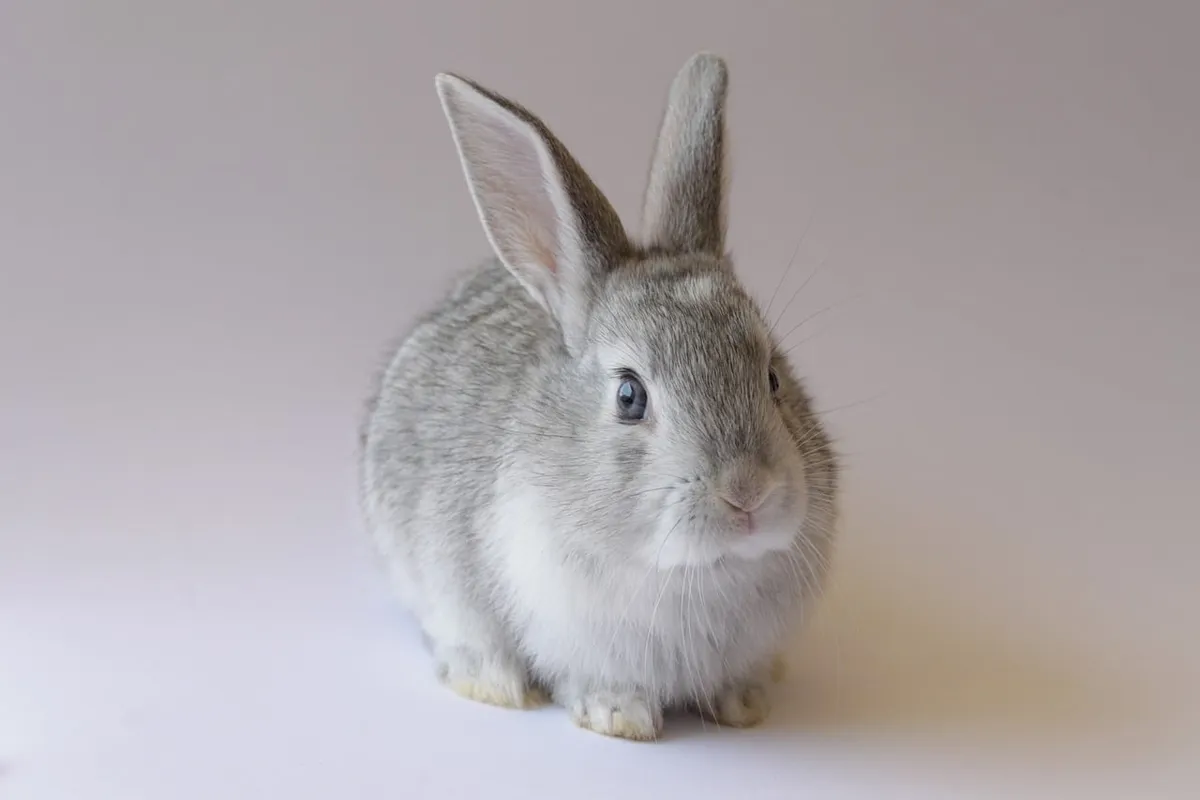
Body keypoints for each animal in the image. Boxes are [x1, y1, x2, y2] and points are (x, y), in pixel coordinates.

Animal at [359, 52, 839, 741]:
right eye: (630, 396)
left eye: (772, 376)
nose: (747, 491)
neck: (696, 568)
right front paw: (621, 717)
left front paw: (745, 704)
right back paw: (493, 683)